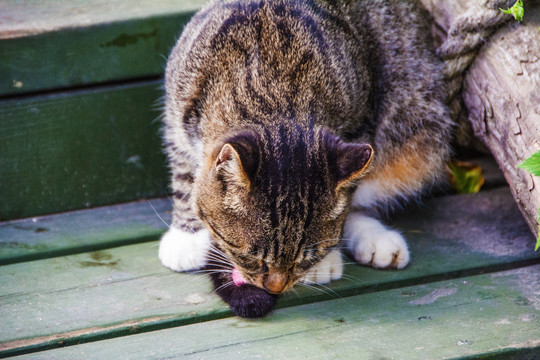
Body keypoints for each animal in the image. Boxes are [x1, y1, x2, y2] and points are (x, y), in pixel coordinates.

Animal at [159, 0, 452, 316]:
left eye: (304, 257)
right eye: (251, 254)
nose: (275, 287)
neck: (270, 84)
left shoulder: (361, 122)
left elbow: (348, 198)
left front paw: (325, 258)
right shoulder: (175, 115)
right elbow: (184, 173)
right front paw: (186, 237)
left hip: (420, 129)